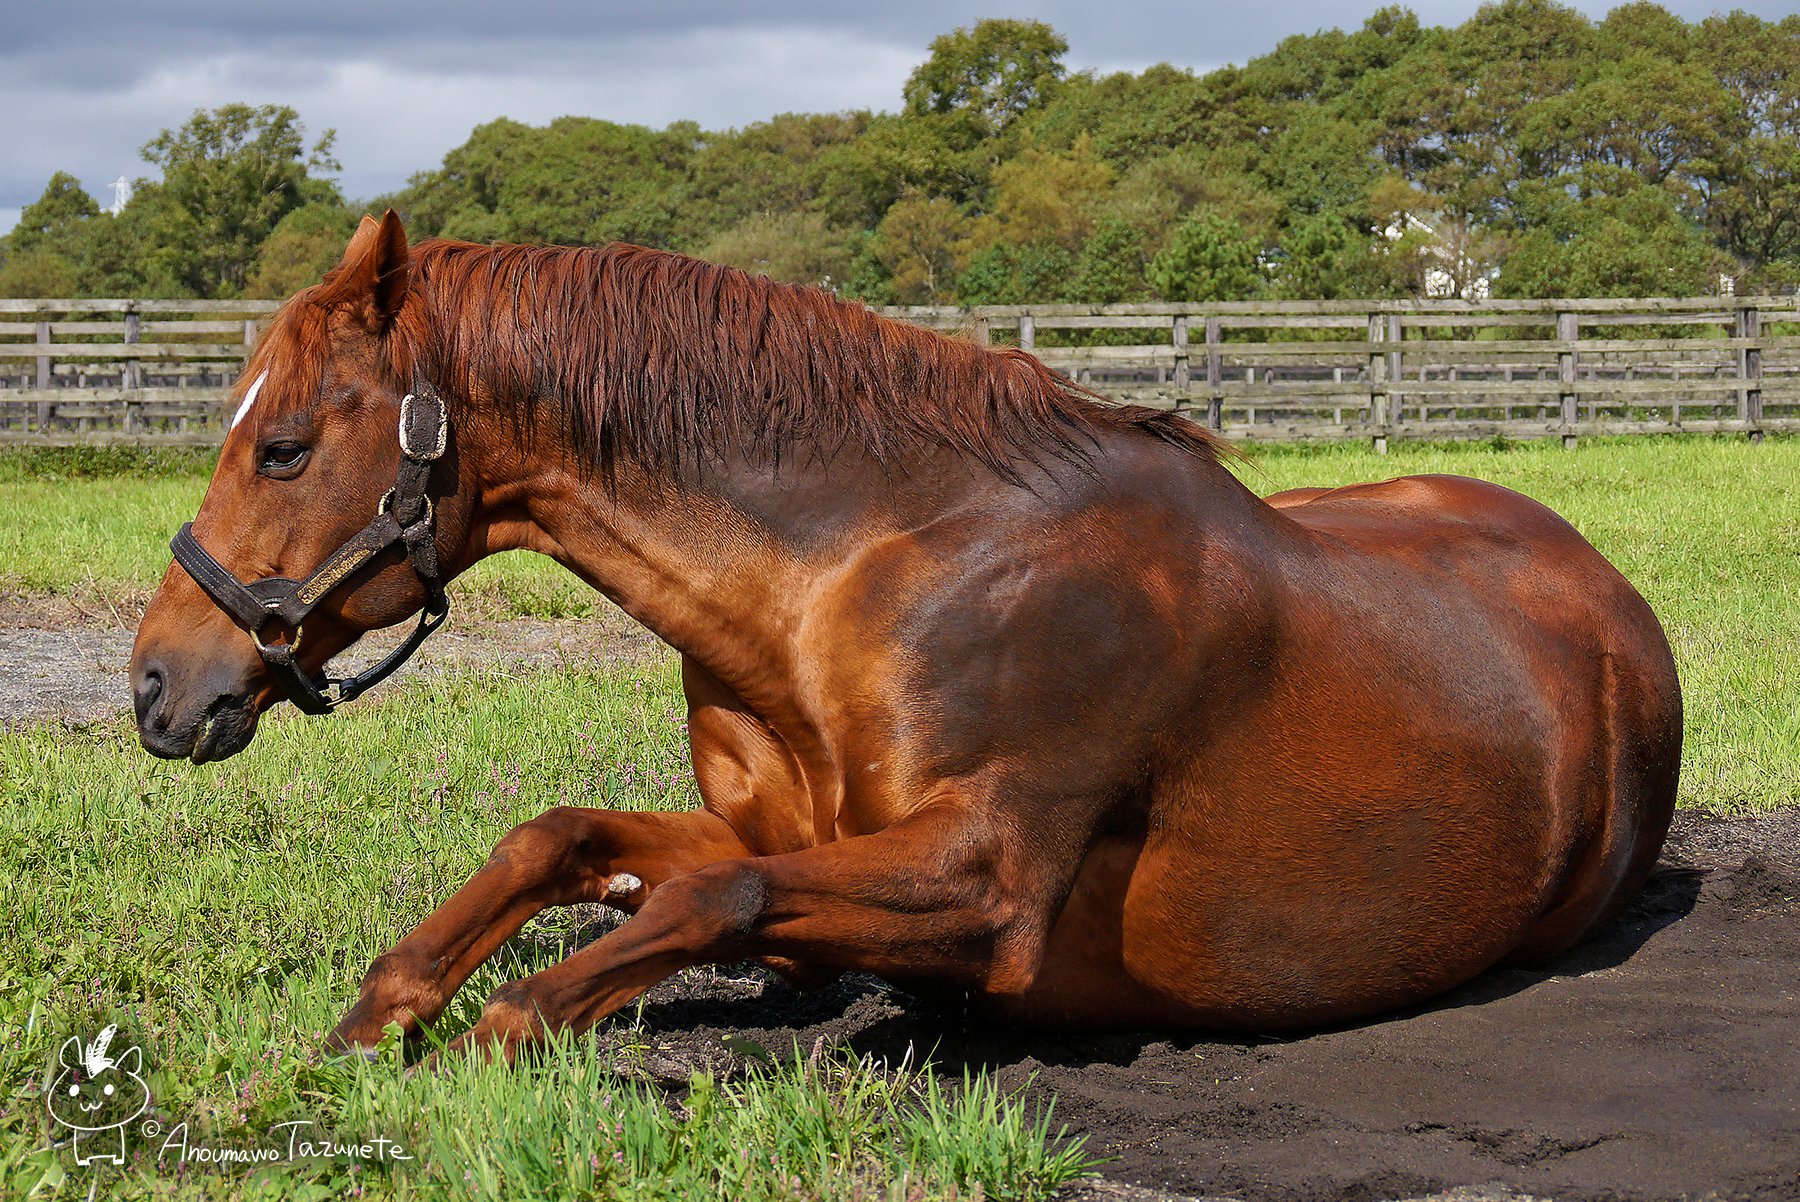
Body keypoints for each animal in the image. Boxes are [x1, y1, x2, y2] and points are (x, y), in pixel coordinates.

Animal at [130, 211, 1684, 1058]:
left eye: (280, 445)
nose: (156, 684)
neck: (866, 576)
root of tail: (1614, 599)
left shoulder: (984, 883)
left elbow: (705, 904)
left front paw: (485, 1040)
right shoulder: (784, 835)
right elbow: (559, 837)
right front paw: (367, 1023)